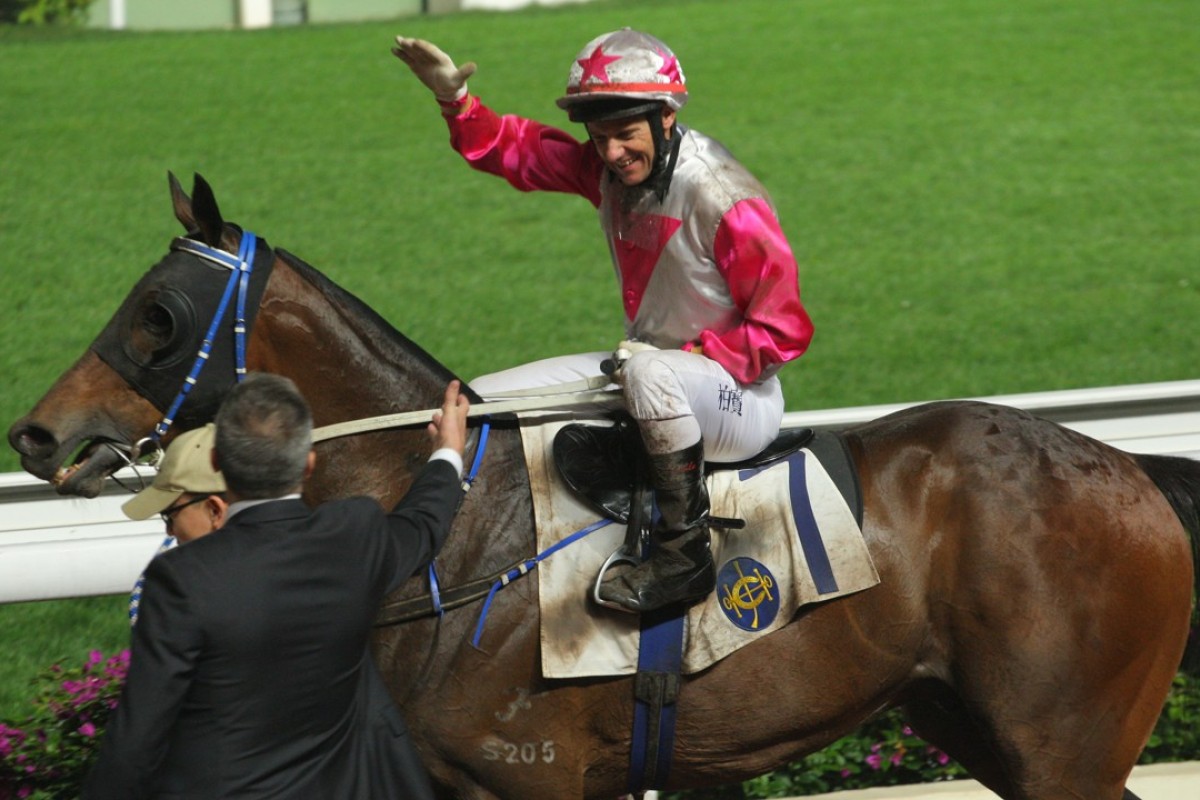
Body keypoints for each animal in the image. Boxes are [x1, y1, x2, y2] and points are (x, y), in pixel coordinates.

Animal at [9, 176, 1200, 800]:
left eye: (156, 314)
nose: (38, 432)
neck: (458, 543)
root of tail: (1128, 466)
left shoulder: (527, 778)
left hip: (1065, 747)